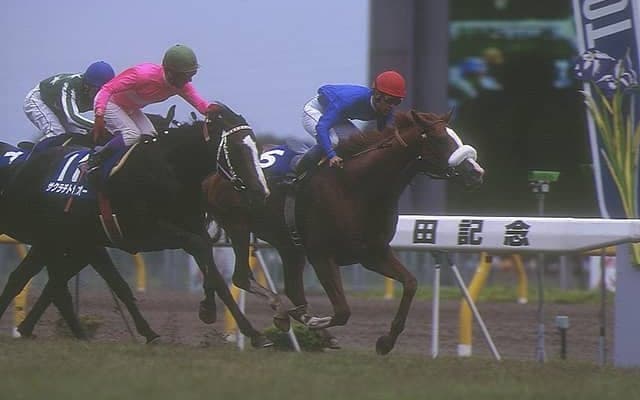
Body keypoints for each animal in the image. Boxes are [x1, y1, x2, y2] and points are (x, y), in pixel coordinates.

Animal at [0, 104, 273, 346]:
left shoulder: (93, 244)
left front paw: (250, 331)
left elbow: (214, 274)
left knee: (30, 279)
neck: (171, 170)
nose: (261, 193)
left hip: (56, 241)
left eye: (255, 146)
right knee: (47, 284)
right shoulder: (142, 234)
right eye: (237, 148)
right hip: (53, 239)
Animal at [203, 110, 485, 354]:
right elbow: (342, 310)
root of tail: (214, 174)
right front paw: (312, 321)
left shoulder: (373, 253)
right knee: (241, 277)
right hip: (239, 227)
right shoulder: (322, 255)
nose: (476, 172)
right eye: (439, 138)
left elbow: (411, 283)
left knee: (293, 289)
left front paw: (386, 341)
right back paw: (283, 317)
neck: (357, 187)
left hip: (289, 245)